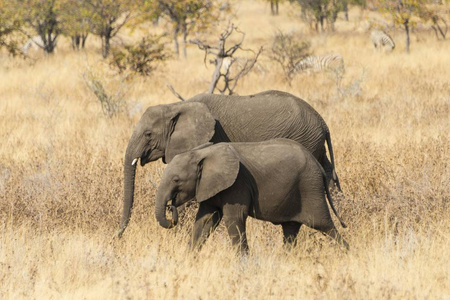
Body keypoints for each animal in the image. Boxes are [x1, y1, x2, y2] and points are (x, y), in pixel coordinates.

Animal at [119, 89, 342, 237]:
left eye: (148, 134)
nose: (118, 236)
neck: (176, 107)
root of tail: (323, 123)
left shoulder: (213, 138)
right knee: (329, 175)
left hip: (306, 139)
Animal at [155, 138, 348, 253]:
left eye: (176, 180)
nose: (171, 206)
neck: (202, 153)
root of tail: (319, 167)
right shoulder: (209, 185)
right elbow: (205, 219)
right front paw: (189, 257)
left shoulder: (237, 184)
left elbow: (234, 219)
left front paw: (243, 264)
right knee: (290, 230)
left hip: (310, 188)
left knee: (324, 225)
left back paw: (347, 253)